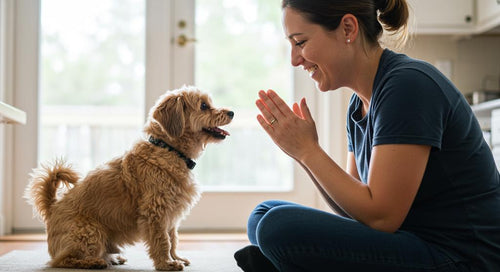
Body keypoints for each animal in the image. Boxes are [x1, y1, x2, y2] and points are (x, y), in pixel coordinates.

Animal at [23, 86, 234, 270]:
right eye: (203, 105)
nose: (232, 112)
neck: (169, 150)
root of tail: (52, 207)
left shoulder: (172, 215)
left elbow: (173, 240)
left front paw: (176, 258)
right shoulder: (156, 212)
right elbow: (163, 241)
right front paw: (166, 263)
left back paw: (112, 258)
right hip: (89, 231)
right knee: (61, 260)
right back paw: (93, 262)